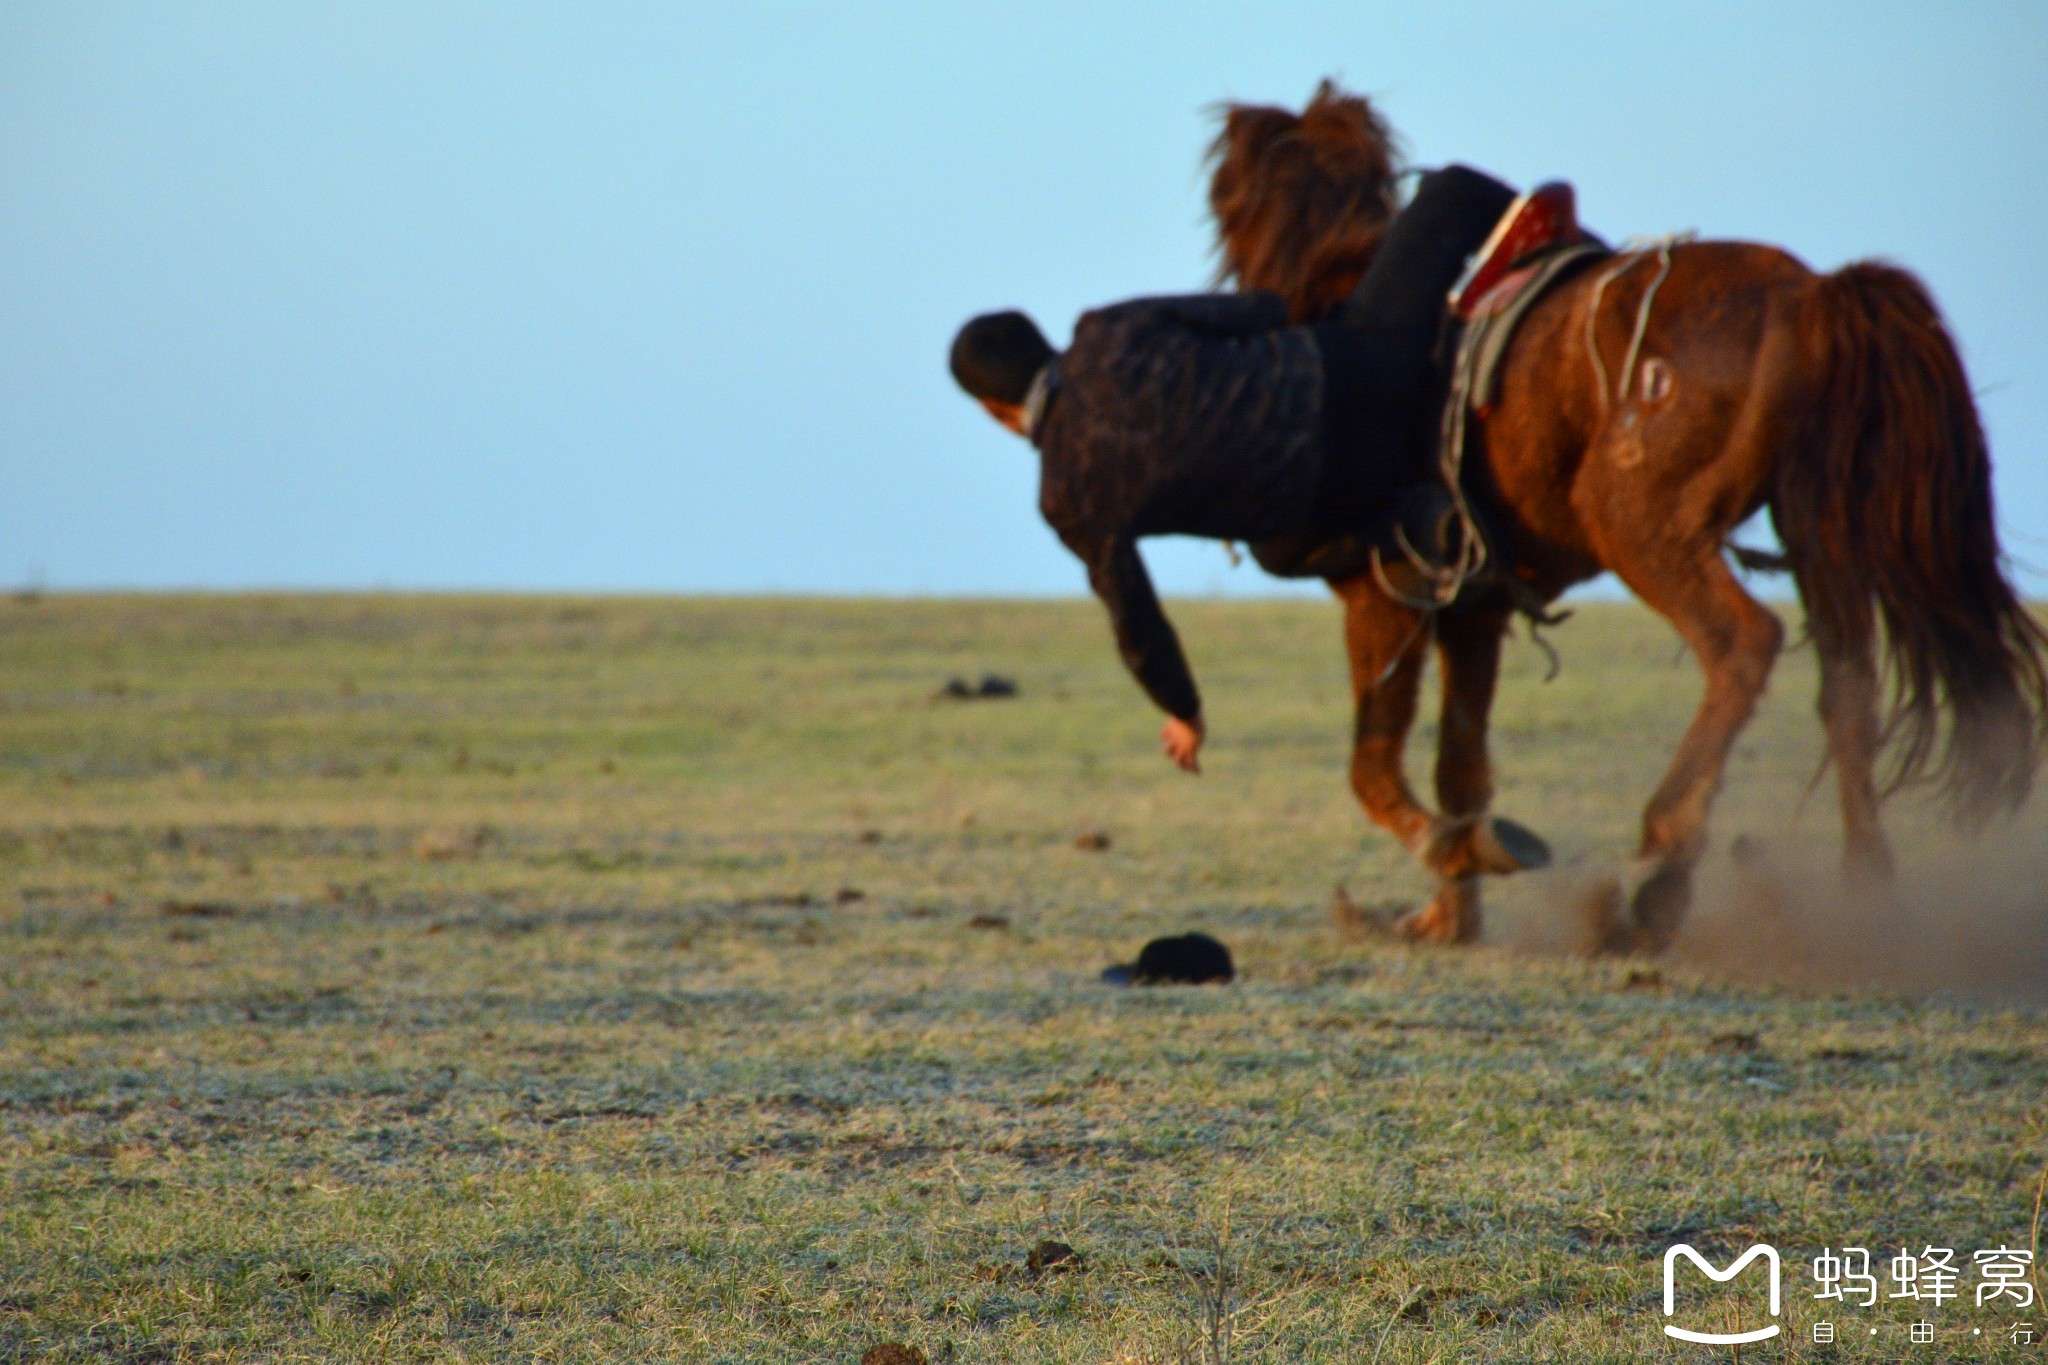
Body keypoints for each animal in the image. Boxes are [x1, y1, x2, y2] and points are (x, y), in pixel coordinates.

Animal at [1204, 85, 2039, 957]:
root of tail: (1809, 298)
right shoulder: (1476, 607)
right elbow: (1460, 766)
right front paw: (1451, 907)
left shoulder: (1387, 591)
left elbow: (1374, 766)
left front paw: (1449, 867)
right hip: (1817, 534)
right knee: (1848, 689)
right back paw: (1865, 889)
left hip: (1638, 523)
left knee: (1742, 642)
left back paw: (1656, 870)